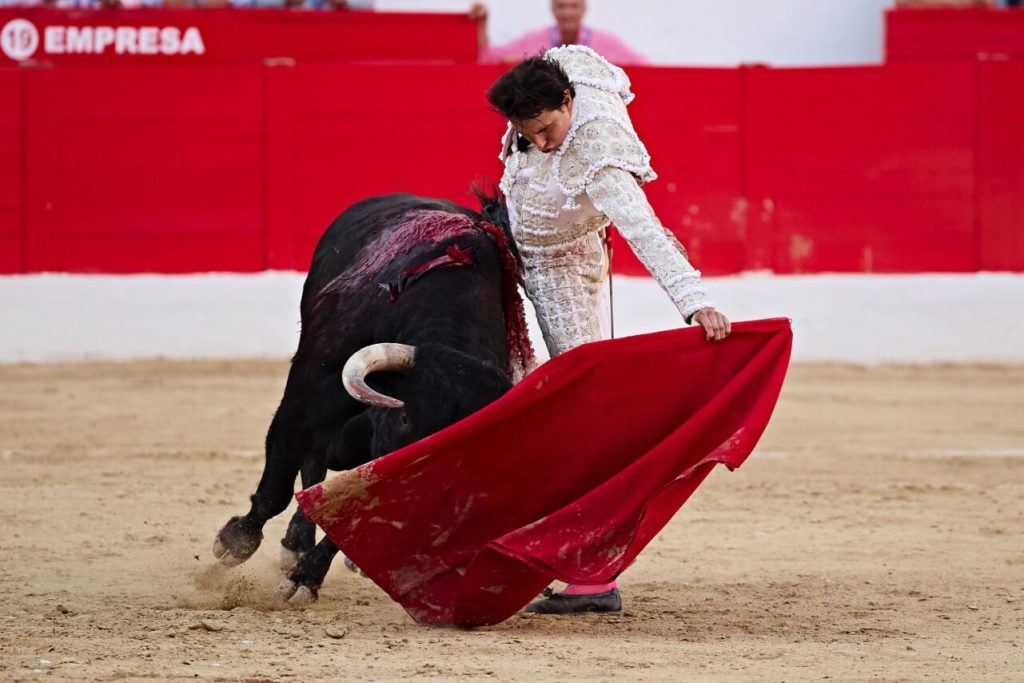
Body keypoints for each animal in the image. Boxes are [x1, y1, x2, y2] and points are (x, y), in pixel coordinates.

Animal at [210, 192, 524, 602]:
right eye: (406, 418)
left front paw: (304, 578)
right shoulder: (301, 406)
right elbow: (276, 487)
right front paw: (234, 542)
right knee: (311, 467)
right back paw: (293, 542)